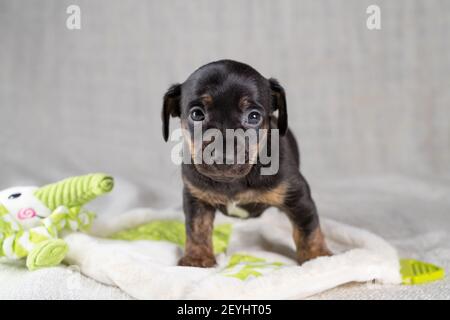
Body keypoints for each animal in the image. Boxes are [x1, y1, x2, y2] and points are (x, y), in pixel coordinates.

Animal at [162, 59, 330, 268]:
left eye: (254, 116)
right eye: (197, 114)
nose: (223, 156)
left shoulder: (298, 196)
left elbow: (308, 229)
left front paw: (318, 257)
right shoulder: (196, 197)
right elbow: (197, 228)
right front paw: (197, 258)